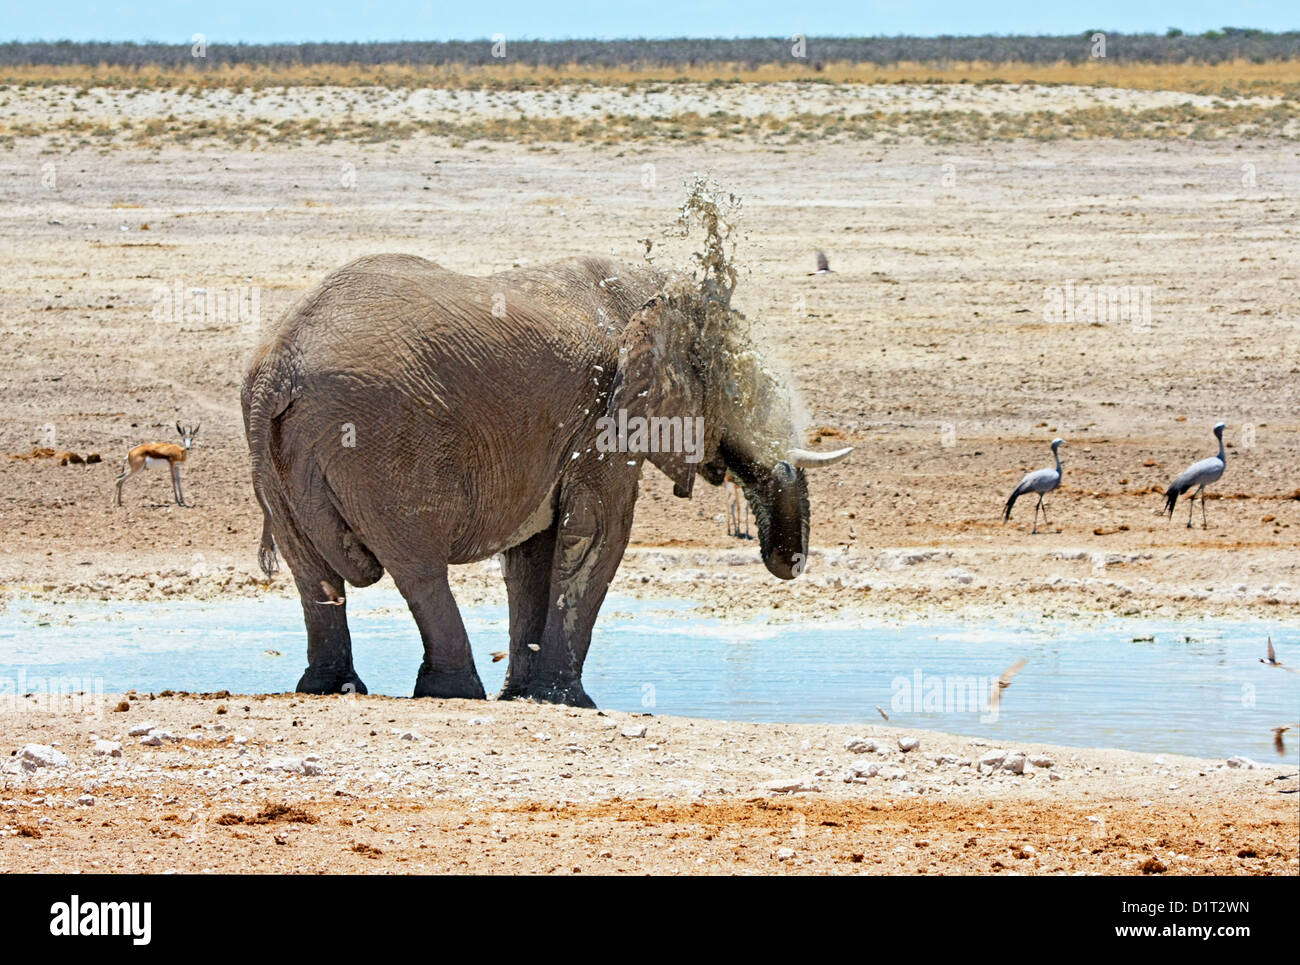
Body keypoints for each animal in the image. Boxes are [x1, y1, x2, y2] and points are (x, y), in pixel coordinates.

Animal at [243, 254, 852, 712]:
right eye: (738, 387)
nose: (788, 563)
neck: (653, 293)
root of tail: (280, 366)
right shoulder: (604, 417)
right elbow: (597, 535)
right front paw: (570, 701)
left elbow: (534, 553)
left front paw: (526, 696)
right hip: (378, 444)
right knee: (418, 568)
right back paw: (454, 693)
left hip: (269, 455)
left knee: (311, 572)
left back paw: (332, 689)